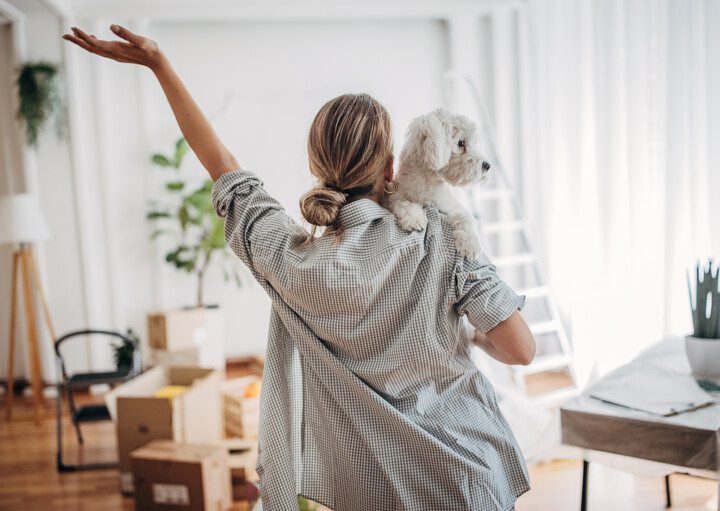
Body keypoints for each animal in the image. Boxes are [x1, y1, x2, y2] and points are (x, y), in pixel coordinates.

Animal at [386, 108, 492, 260]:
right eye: (461, 143)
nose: (487, 165)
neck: (427, 184)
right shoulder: (394, 197)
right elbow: (401, 203)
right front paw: (413, 217)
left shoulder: (452, 206)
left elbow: (465, 217)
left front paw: (470, 245)